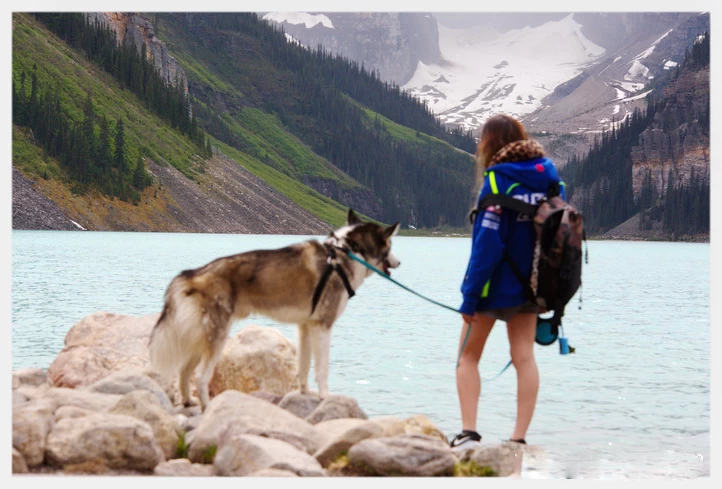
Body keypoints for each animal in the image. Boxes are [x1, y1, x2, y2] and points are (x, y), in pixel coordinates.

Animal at [147, 208, 400, 410]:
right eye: (390, 245)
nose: (399, 263)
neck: (346, 253)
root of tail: (194, 273)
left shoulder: (306, 327)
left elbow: (304, 366)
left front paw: (304, 393)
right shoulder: (323, 327)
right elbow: (322, 370)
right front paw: (325, 397)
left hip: (201, 338)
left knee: (184, 371)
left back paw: (188, 402)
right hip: (217, 336)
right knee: (200, 376)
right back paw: (209, 407)